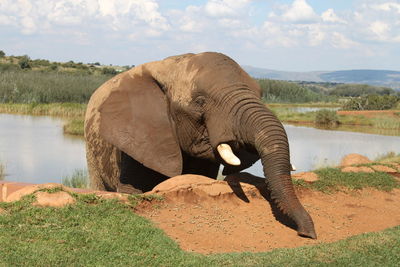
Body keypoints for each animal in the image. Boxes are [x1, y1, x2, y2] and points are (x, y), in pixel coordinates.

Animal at [84, 51, 316, 240]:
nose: (307, 233)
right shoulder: (140, 138)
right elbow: (132, 191)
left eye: (259, 94)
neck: (171, 66)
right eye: (200, 102)